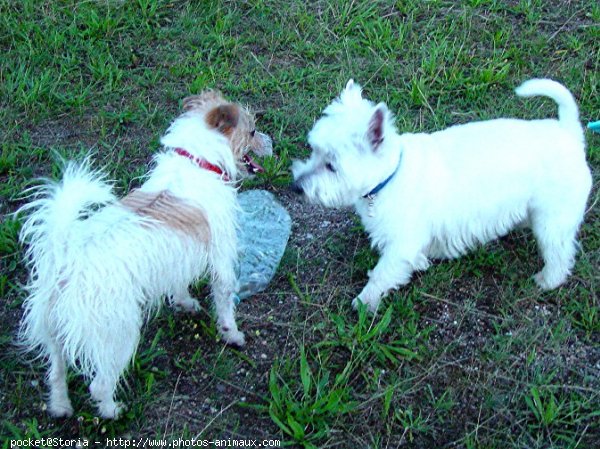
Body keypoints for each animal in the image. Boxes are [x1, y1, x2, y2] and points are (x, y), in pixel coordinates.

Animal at [17, 89, 272, 418]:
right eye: (252, 131)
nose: (269, 141)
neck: (198, 161)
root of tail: (66, 261)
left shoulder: (179, 258)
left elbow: (179, 285)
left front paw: (185, 303)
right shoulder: (221, 259)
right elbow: (225, 301)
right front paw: (232, 334)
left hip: (54, 335)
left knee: (56, 373)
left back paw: (61, 407)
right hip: (119, 335)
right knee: (99, 385)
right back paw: (112, 411)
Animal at [292, 78, 592, 312]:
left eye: (332, 165)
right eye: (313, 150)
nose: (296, 187)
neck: (391, 175)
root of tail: (569, 132)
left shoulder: (400, 243)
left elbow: (381, 274)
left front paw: (364, 302)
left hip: (553, 220)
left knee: (559, 254)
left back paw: (546, 280)